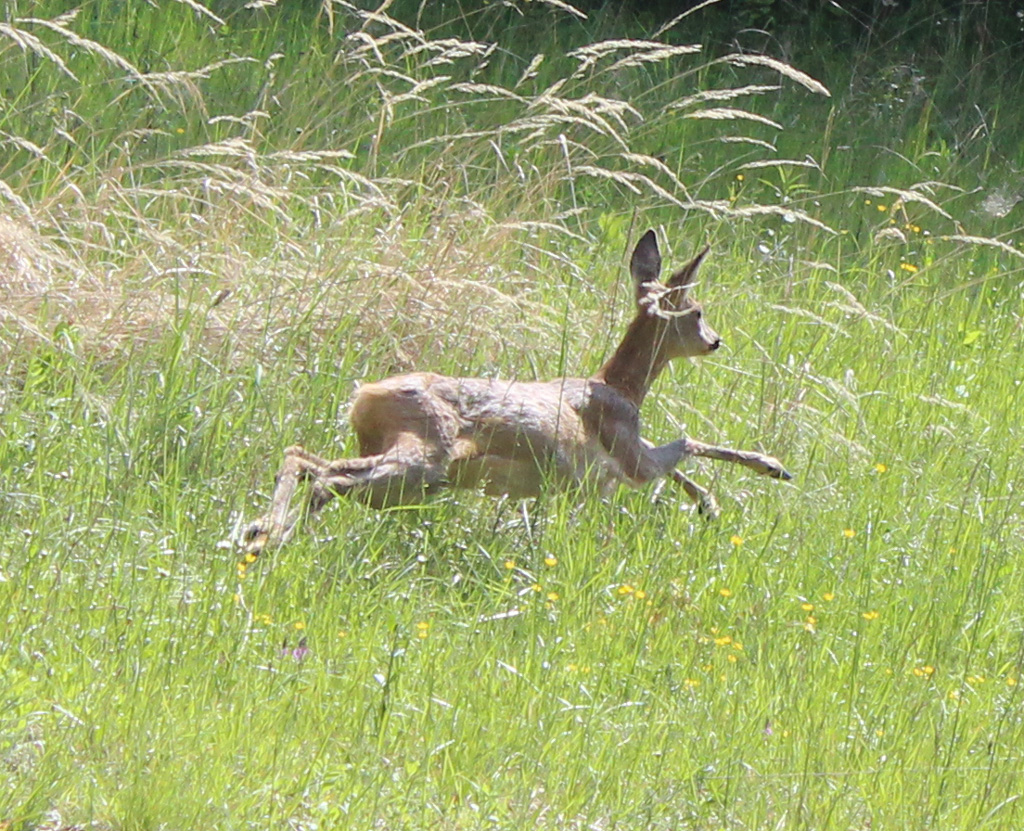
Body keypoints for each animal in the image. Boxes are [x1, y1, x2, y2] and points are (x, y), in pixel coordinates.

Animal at [241, 227, 790, 556]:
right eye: (696, 311)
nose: (716, 340)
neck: (620, 388)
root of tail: (365, 397)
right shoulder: (627, 452)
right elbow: (684, 444)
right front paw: (763, 470)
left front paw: (711, 501)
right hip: (422, 461)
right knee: (325, 474)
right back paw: (268, 536)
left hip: (399, 468)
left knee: (306, 460)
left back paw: (260, 532)